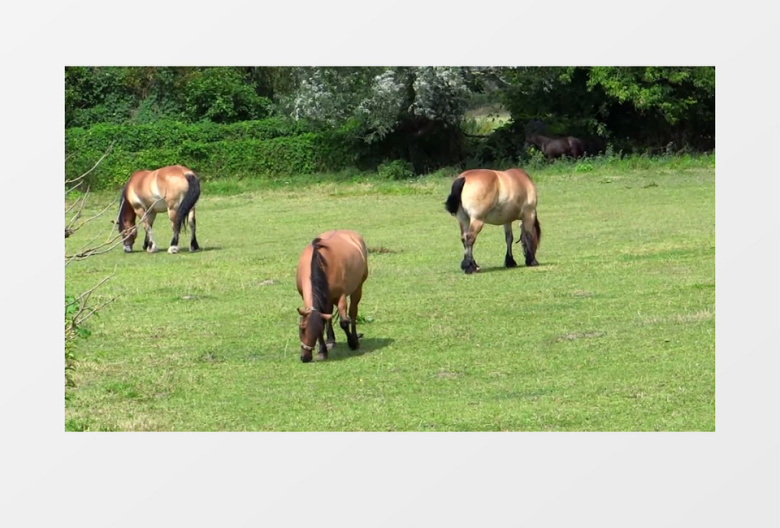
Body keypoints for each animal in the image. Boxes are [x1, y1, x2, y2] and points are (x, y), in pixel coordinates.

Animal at [295, 230, 369, 362]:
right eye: (301, 329)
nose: (305, 357)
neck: (319, 261)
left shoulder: (341, 296)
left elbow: (344, 322)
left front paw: (353, 343)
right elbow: (324, 320)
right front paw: (322, 351)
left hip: (357, 288)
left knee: (353, 313)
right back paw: (330, 340)